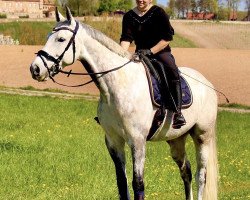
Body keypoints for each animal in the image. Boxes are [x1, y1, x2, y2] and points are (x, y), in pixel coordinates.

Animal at [29, 7, 218, 199]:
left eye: (61, 39)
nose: (35, 69)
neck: (118, 86)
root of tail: (208, 84)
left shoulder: (137, 141)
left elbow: (138, 183)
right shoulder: (114, 141)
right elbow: (122, 182)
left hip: (202, 136)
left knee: (201, 175)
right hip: (176, 139)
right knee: (186, 171)